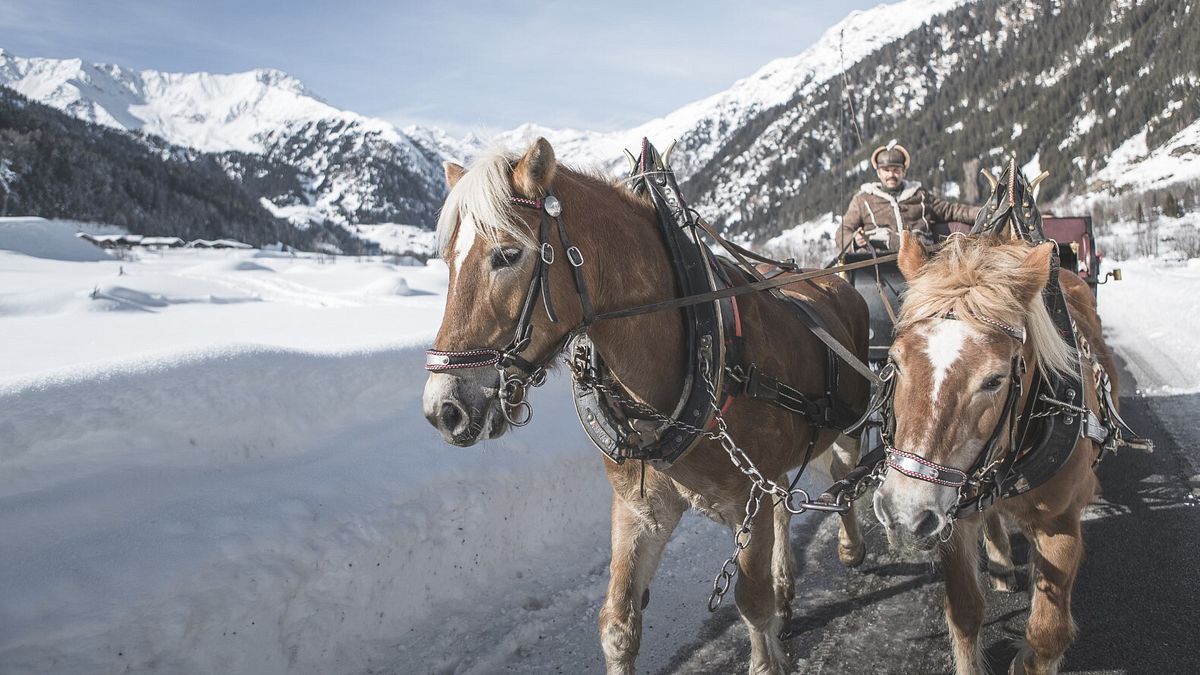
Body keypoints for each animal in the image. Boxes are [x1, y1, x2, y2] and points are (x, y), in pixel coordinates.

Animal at [424, 138, 873, 672]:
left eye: (507, 254)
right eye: (448, 261)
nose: (444, 409)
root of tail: (834, 279)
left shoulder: (747, 498)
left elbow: (751, 603)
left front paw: (769, 654)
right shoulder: (639, 508)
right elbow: (618, 624)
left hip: (848, 424)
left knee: (844, 477)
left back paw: (850, 546)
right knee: (787, 504)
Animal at [873, 163, 1142, 672]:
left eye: (995, 380)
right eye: (894, 362)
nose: (904, 514)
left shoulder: (1061, 523)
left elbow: (1048, 632)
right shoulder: (950, 509)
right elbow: (964, 613)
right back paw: (999, 560)